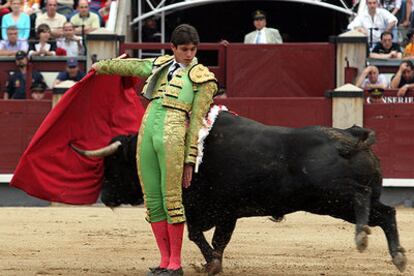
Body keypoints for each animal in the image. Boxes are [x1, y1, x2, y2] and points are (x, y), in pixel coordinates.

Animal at [72, 110, 408, 274]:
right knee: (386, 213)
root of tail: (353, 136)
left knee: (366, 203)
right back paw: (398, 257)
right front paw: (212, 264)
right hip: (337, 200)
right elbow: (218, 240)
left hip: (332, 197)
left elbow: (196, 235)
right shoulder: (228, 212)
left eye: (115, 164)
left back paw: (363, 237)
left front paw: (209, 263)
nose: (105, 197)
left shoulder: (208, 208)